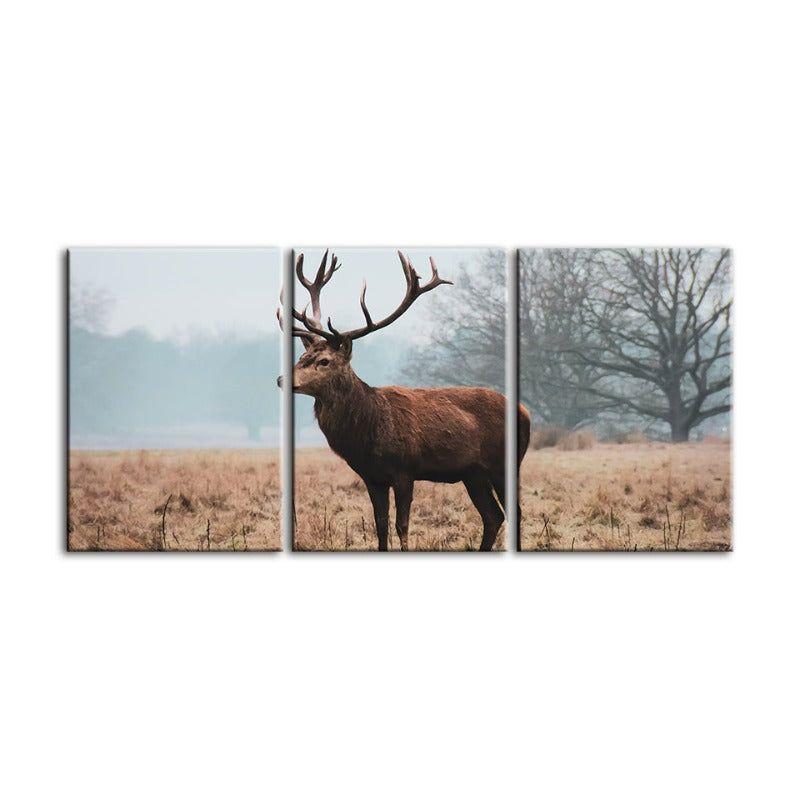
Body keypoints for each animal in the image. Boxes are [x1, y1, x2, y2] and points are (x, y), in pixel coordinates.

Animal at [278, 249, 531, 551]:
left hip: (504, 462)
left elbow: (402, 525)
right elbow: (380, 526)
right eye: (302, 357)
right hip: (473, 473)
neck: (368, 430)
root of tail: (526, 413)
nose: (281, 379)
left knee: (513, 512)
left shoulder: (404, 470)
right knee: (493, 516)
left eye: (324, 360)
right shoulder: (372, 477)